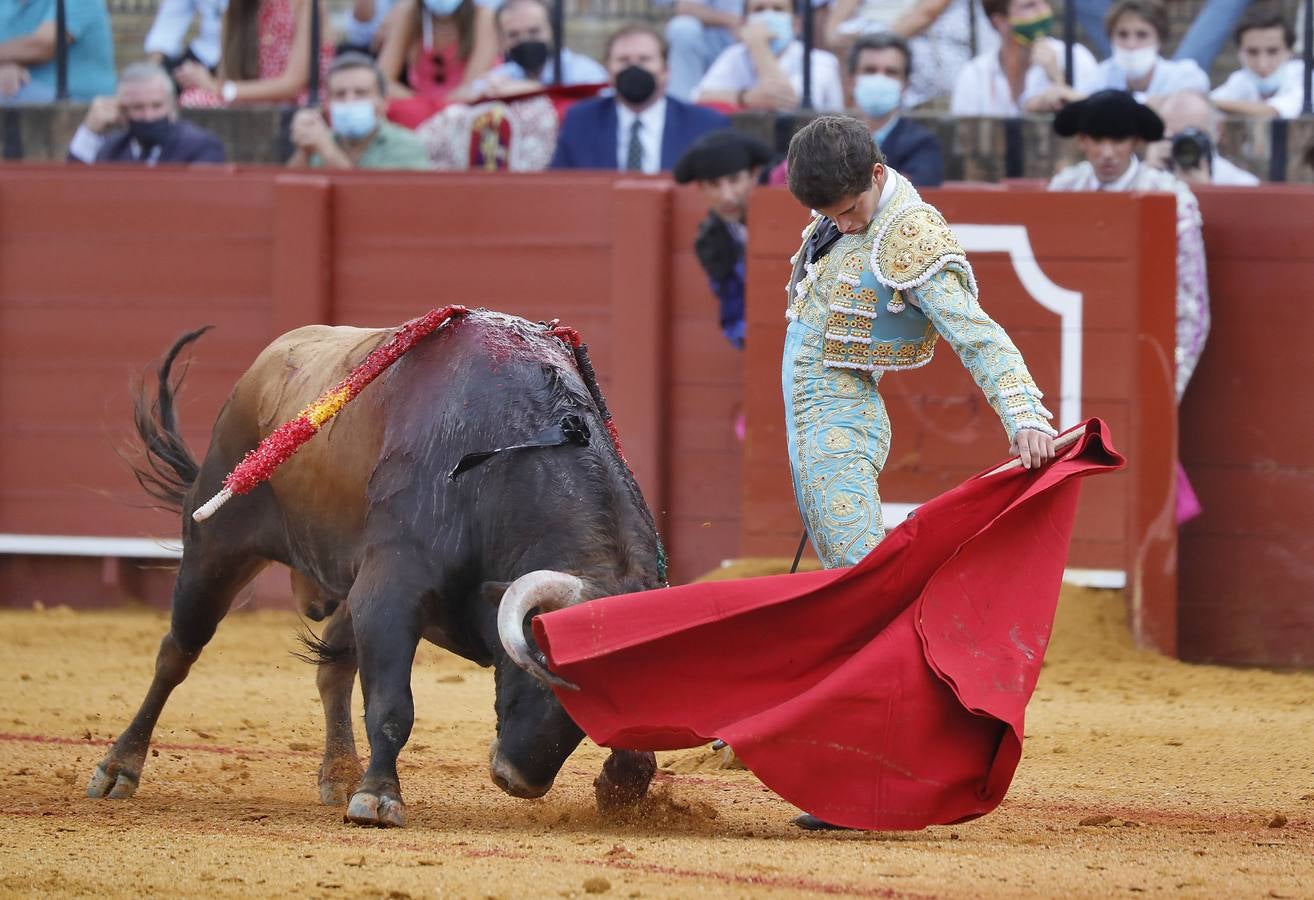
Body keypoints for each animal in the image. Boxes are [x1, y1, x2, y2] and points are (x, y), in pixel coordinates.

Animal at [88, 312, 667, 825]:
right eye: (544, 669)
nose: (517, 779)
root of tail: (263, 366)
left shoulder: (376, 590)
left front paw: (623, 784)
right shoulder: (392, 593)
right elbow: (392, 705)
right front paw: (379, 798)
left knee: (332, 667)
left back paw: (340, 774)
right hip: (216, 547)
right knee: (176, 653)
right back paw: (119, 769)